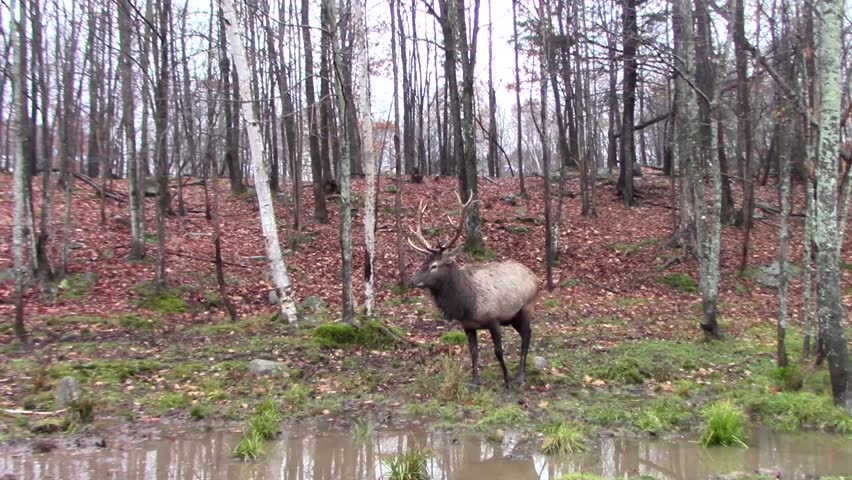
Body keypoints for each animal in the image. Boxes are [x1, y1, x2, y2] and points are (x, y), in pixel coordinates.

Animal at [407, 192, 539, 389]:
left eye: (434, 266)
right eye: (423, 262)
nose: (412, 281)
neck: (467, 304)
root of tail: (536, 278)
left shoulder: (494, 319)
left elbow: (498, 351)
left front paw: (507, 381)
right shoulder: (467, 326)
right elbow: (473, 352)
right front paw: (475, 382)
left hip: (526, 308)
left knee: (526, 336)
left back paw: (520, 376)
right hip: (513, 317)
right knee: (527, 333)